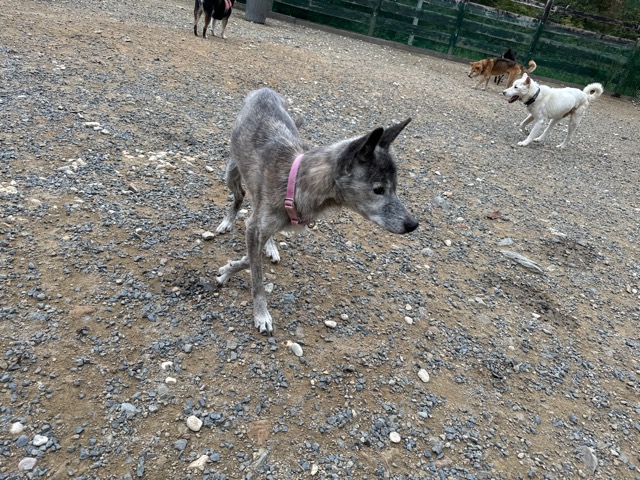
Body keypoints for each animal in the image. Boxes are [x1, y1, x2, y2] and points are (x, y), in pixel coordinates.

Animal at [215, 88, 418, 334]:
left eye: (395, 187)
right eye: (378, 190)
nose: (413, 224)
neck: (297, 181)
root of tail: (264, 90)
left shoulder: (259, 227)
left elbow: (251, 259)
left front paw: (230, 267)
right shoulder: (254, 228)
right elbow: (256, 275)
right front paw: (260, 313)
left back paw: (270, 246)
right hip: (231, 173)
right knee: (240, 197)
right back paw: (228, 221)